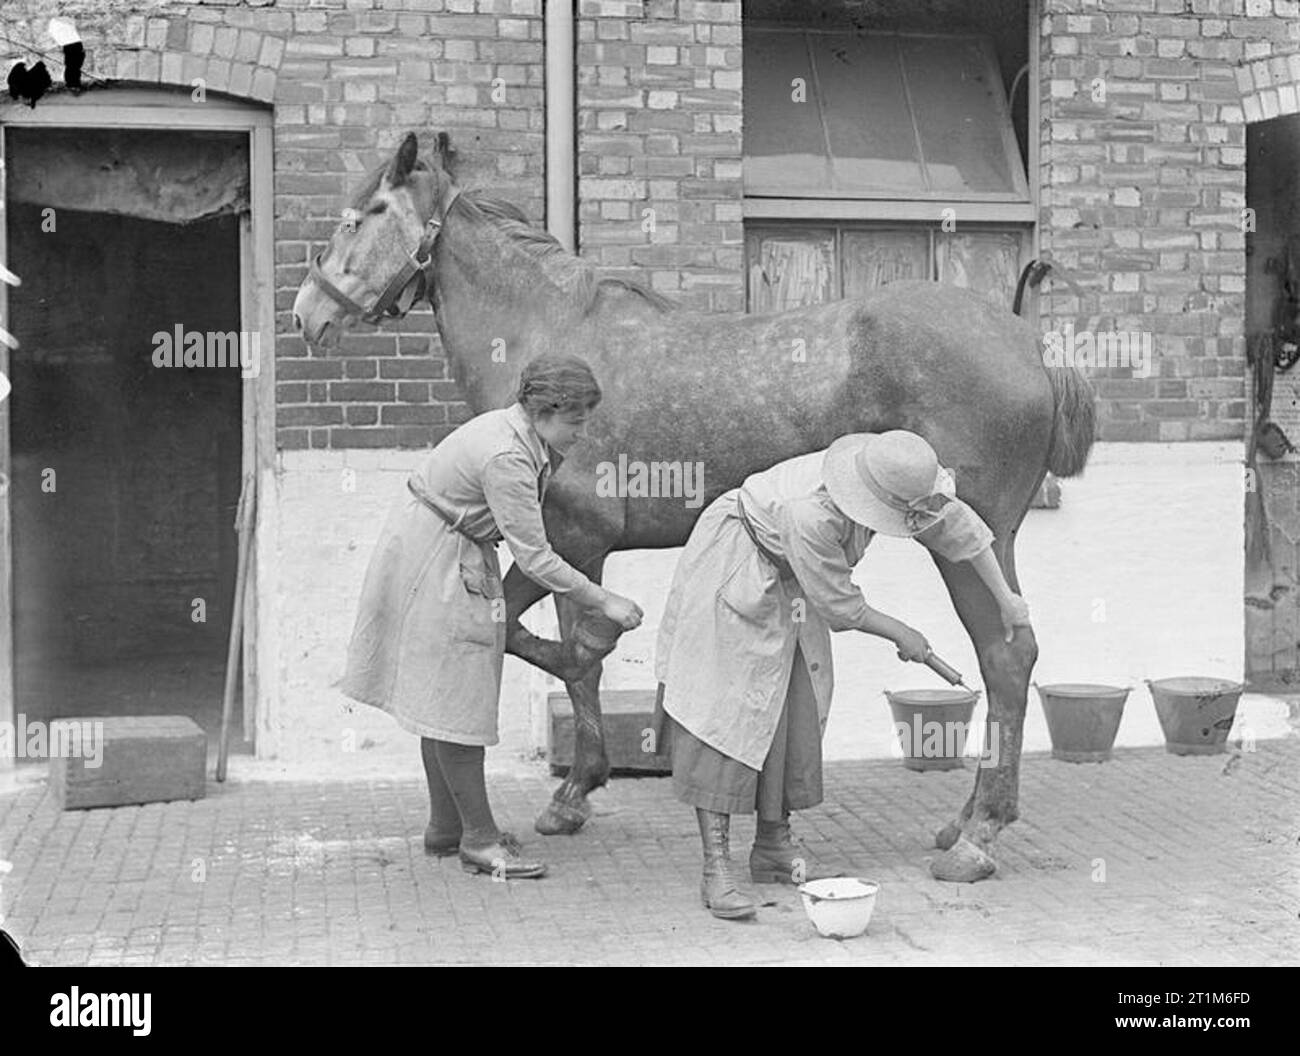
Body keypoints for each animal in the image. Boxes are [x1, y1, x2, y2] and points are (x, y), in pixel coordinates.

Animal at [295, 133, 1097, 884]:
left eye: (367, 213)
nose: (309, 313)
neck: (548, 343)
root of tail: (1029, 343)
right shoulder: (562, 547)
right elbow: (556, 646)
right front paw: (578, 781)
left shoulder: (573, 539)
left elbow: (570, 655)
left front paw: (574, 790)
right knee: (1010, 653)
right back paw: (964, 821)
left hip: (964, 540)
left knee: (1006, 655)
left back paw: (978, 836)